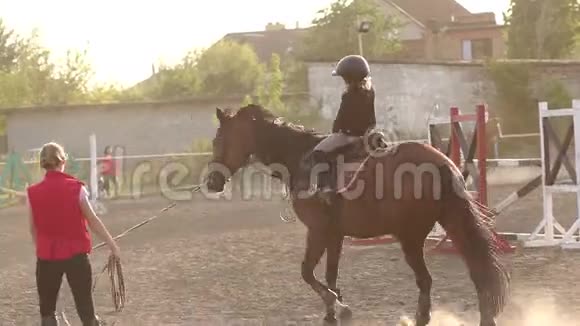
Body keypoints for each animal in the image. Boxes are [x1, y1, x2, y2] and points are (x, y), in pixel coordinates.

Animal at [204, 105, 508, 326]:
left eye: (218, 139)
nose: (211, 182)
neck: (299, 157)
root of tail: (440, 163)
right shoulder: (335, 235)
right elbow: (330, 274)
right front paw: (331, 313)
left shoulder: (317, 231)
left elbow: (307, 272)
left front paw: (340, 308)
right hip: (453, 222)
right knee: (477, 270)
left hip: (411, 238)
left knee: (427, 280)